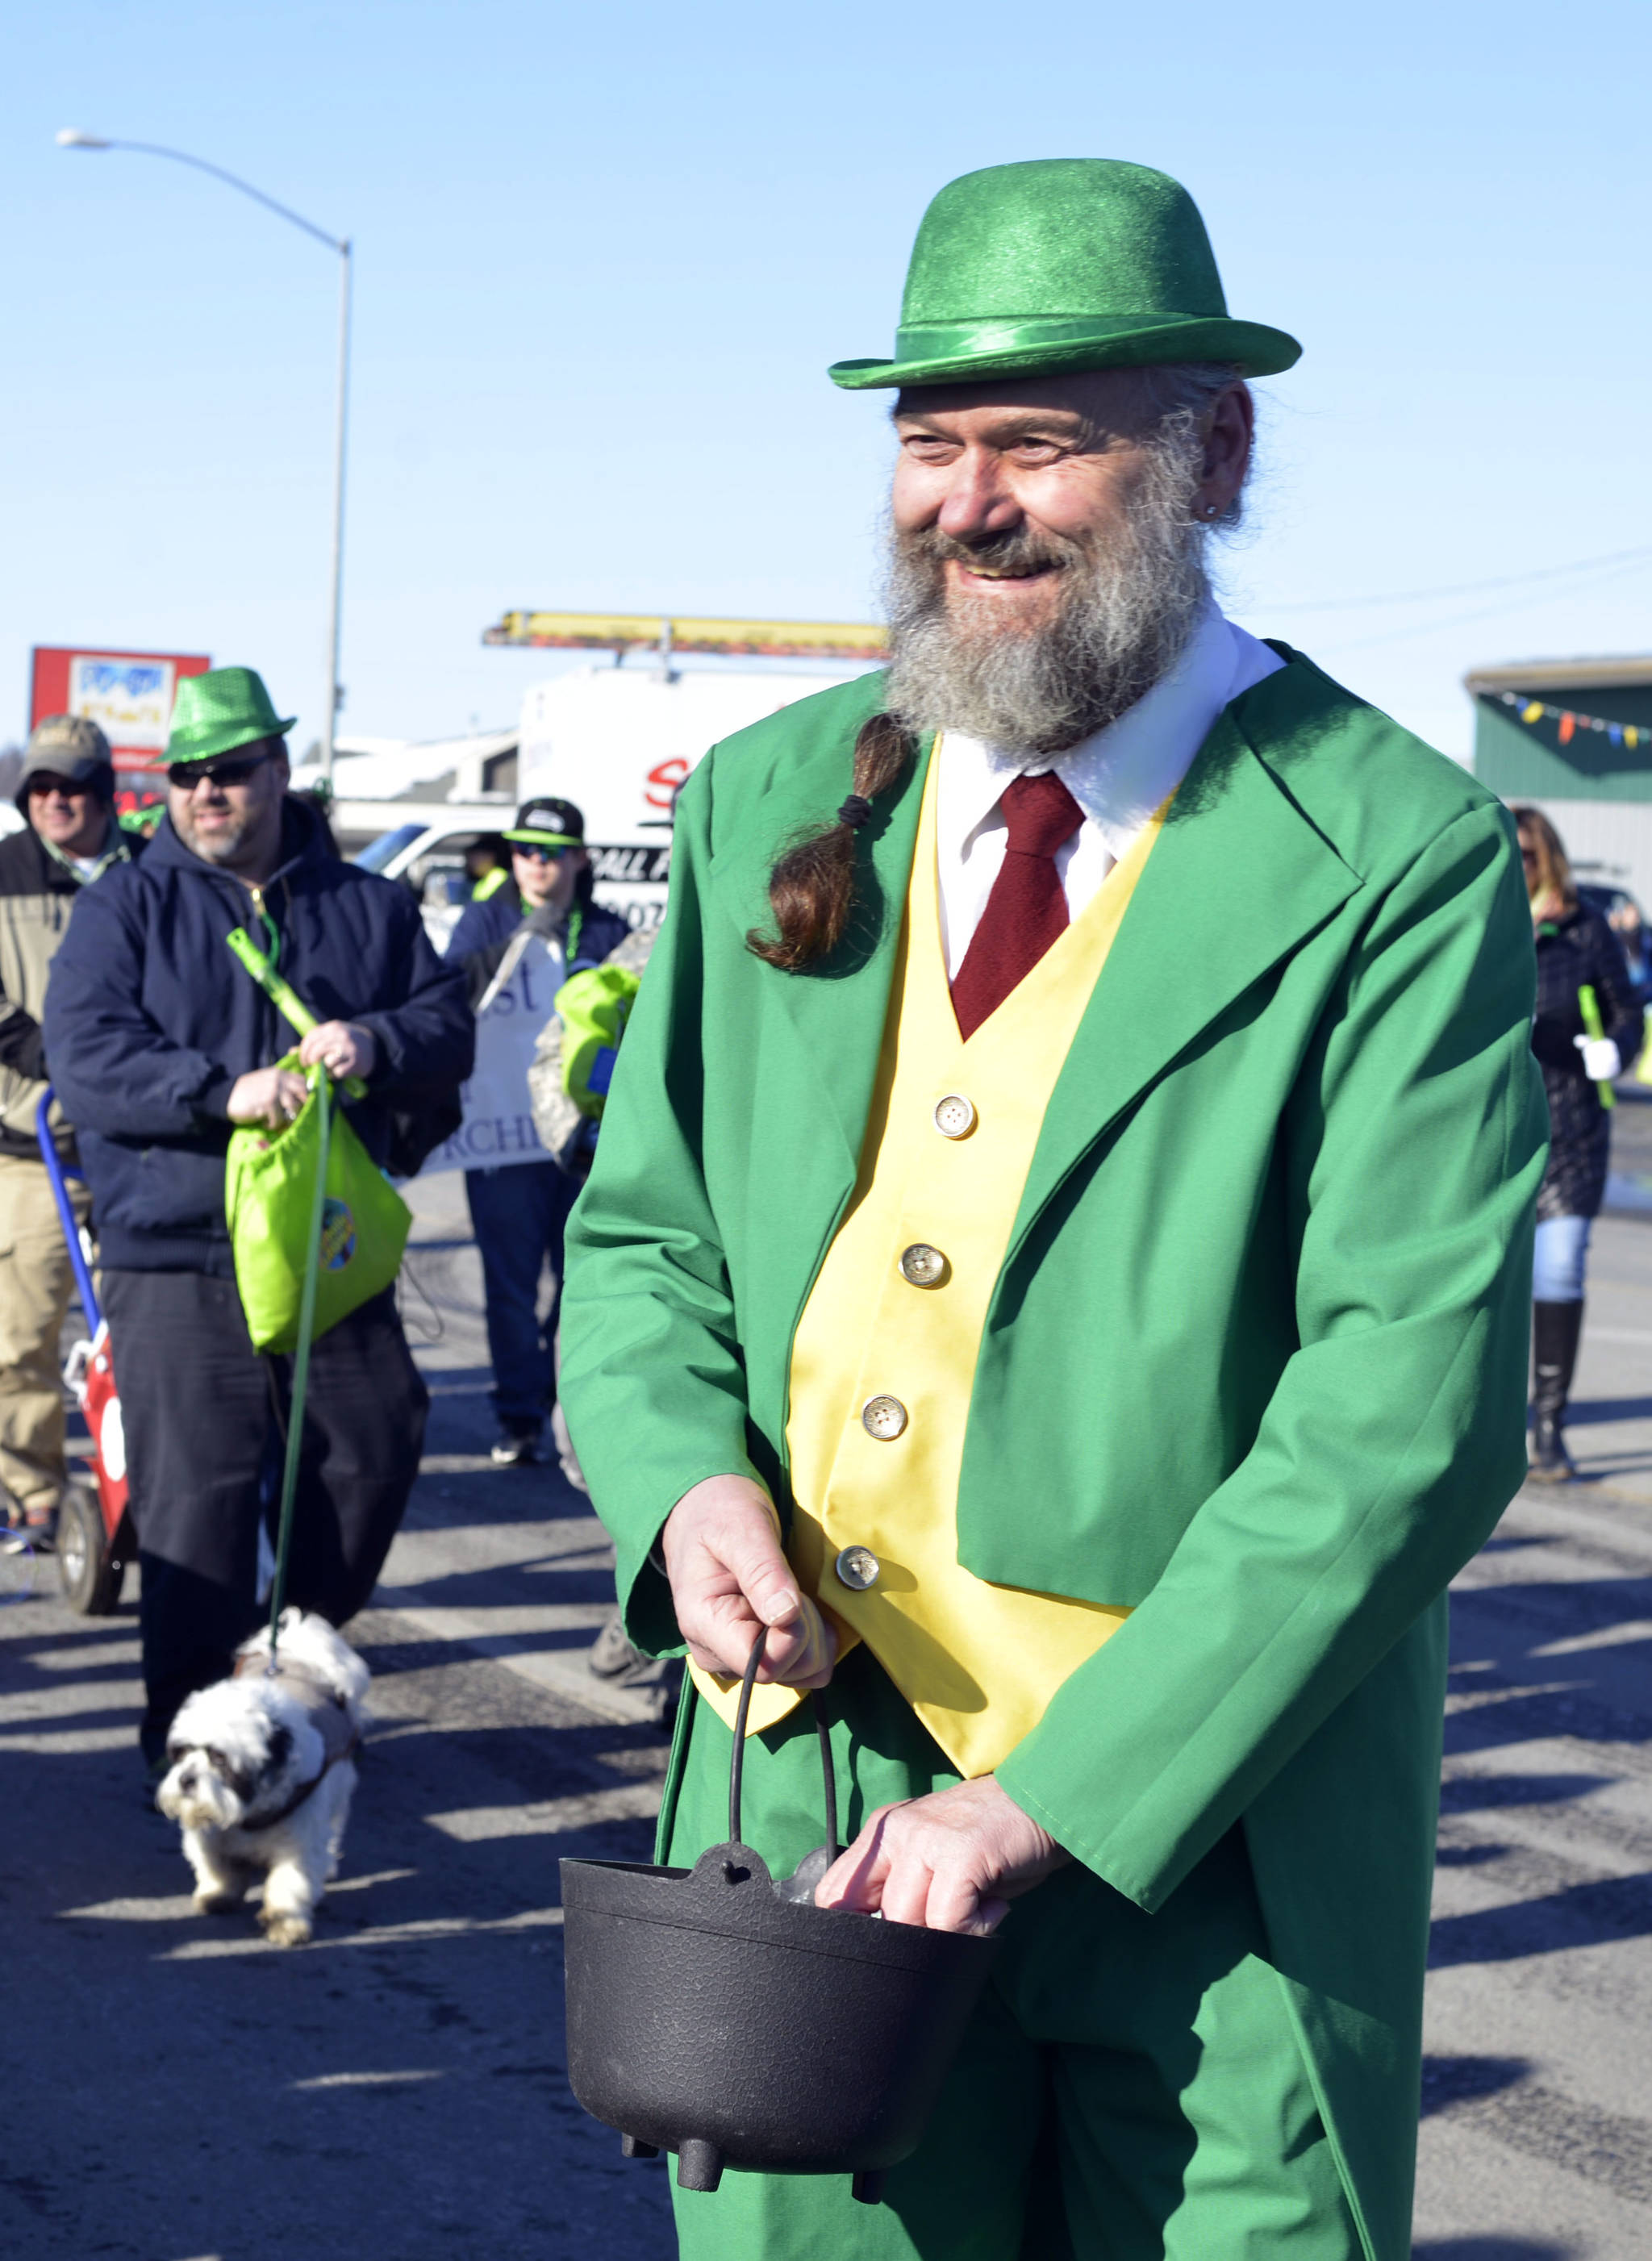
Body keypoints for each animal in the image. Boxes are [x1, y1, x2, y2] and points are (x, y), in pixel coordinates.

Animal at [156, 1609, 370, 1944]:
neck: (250, 1809)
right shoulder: (210, 1834)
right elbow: (216, 1866)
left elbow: (290, 1882)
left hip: (339, 1790)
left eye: (219, 1758)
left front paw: (286, 1922)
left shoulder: (300, 1838)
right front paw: (218, 1895)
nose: (186, 1779)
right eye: (183, 1752)